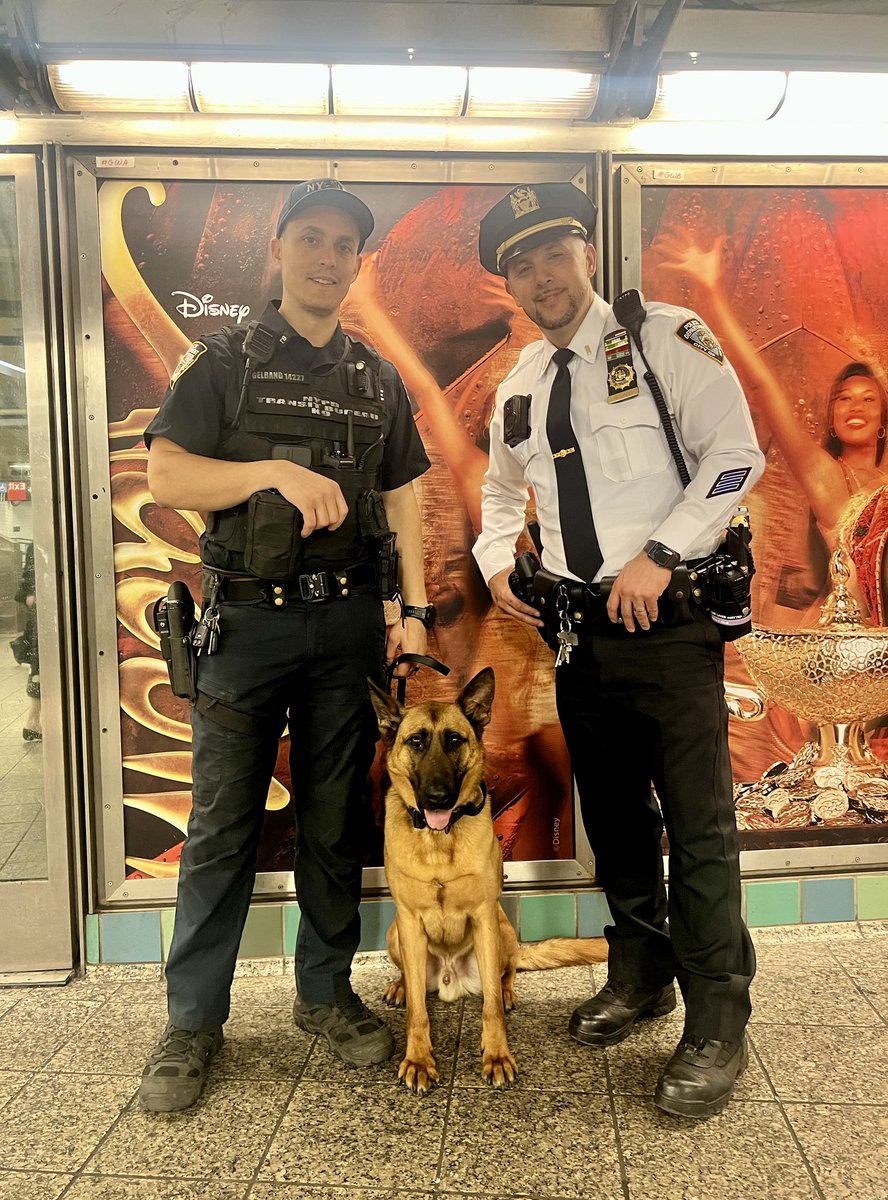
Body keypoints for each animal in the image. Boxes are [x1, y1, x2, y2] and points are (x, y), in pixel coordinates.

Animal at [369, 672, 609, 1094]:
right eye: (416, 741)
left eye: (454, 740)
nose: (438, 798)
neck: (440, 840)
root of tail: (450, 979)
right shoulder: (410, 922)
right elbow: (418, 1011)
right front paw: (418, 1059)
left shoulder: (483, 917)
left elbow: (491, 1008)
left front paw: (497, 1055)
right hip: (396, 933)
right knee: (412, 982)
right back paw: (400, 986)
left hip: (502, 930)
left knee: (504, 974)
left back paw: (509, 990)